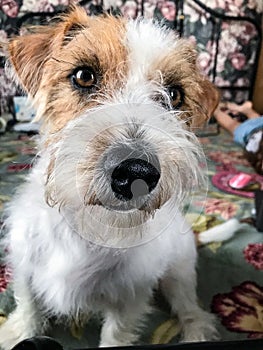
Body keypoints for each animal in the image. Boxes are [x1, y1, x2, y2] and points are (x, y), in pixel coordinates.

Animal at [0, 6, 221, 350]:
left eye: (174, 94)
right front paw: (18, 332)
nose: (136, 172)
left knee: (189, 307)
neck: (84, 226)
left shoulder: (130, 296)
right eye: (83, 76)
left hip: (179, 272)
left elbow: (116, 333)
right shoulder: (24, 264)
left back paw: (196, 331)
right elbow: (28, 304)